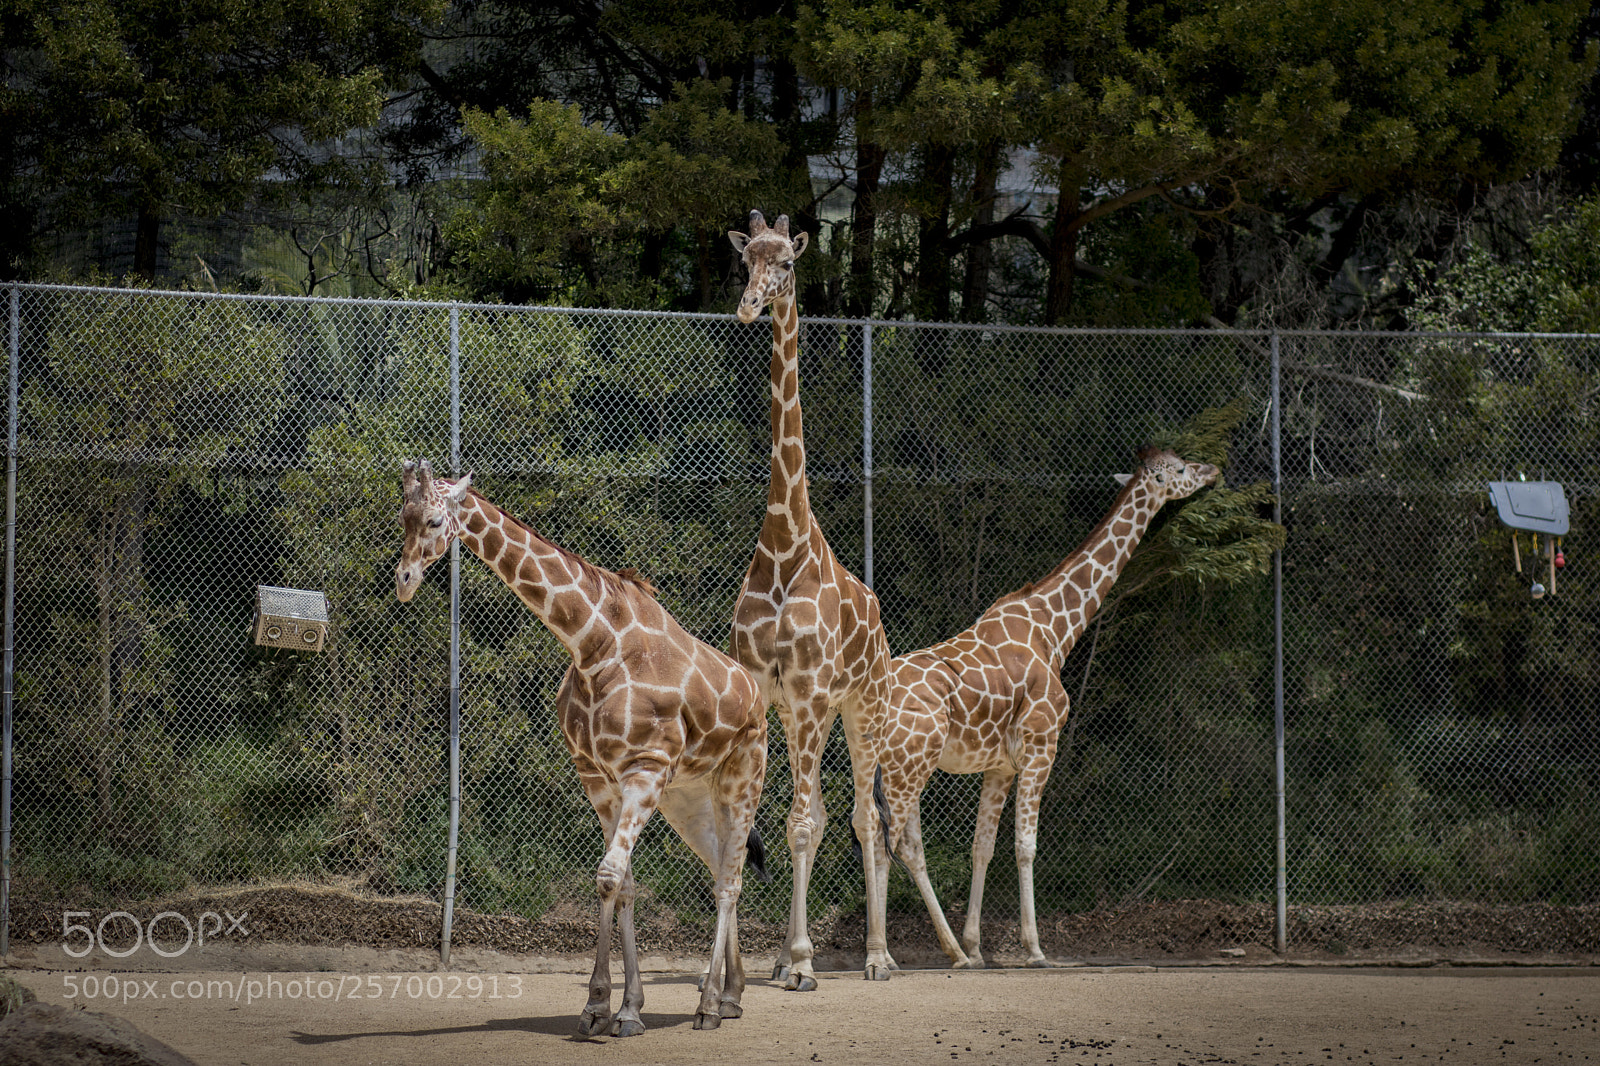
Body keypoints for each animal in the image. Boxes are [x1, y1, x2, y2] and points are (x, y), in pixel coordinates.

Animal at [395, 460, 767, 1036]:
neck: (593, 645)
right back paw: (730, 994)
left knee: (730, 880)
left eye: (435, 519)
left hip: (743, 776)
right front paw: (619, 1007)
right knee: (721, 866)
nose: (404, 581)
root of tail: (754, 693)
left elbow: (608, 876)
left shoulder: (644, 768)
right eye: (402, 517)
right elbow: (625, 885)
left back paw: (707, 1005)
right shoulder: (598, 777)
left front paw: (607, 1008)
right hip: (689, 796)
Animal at [871, 445, 1218, 968]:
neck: (1056, 630)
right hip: (910, 765)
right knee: (881, 839)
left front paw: (976, 945)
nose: (1212, 470)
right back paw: (882, 958)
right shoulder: (1041, 745)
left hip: (903, 765)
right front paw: (1034, 948)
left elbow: (982, 847)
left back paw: (944, 952)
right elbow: (1026, 846)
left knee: (901, 843)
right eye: (1179, 469)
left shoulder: (1000, 765)